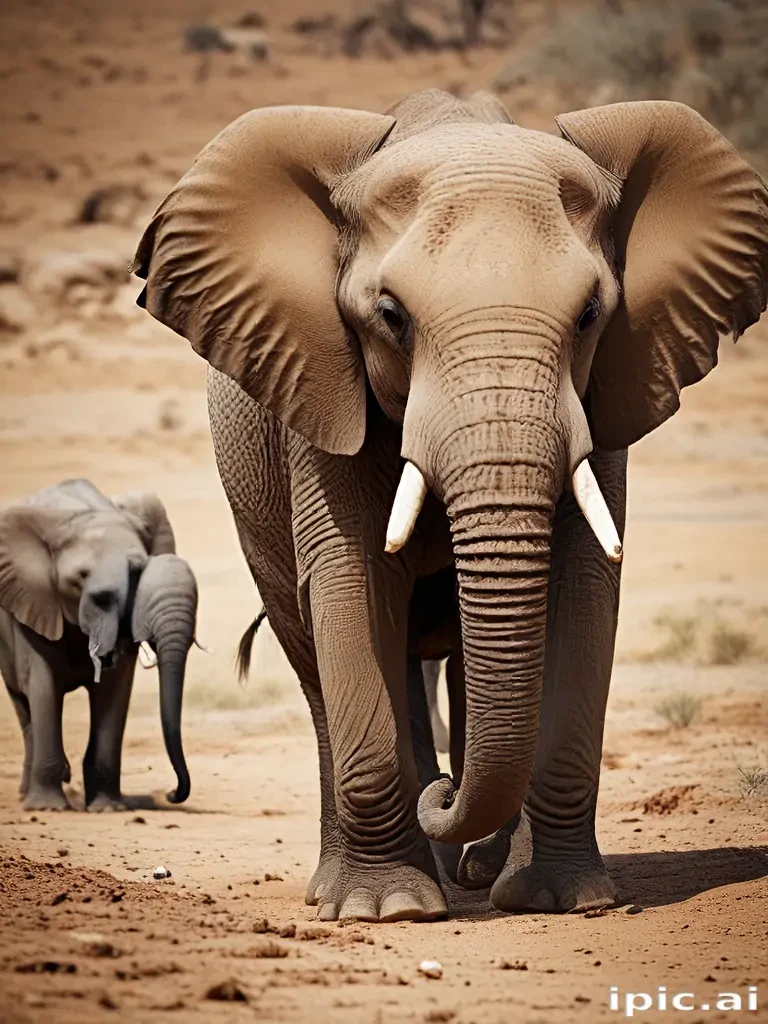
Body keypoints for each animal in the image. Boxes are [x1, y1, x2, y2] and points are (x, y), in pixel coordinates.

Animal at [0, 478, 196, 811]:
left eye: (136, 573)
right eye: (79, 580)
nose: (172, 793)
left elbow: (114, 687)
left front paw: (108, 808)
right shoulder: (32, 600)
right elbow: (41, 681)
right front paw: (47, 808)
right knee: (23, 705)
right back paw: (29, 797)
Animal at [131, 88, 768, 920]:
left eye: (591, 315)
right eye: (391, 315)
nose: (441, 794)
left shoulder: (607, 399)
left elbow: (582, 587)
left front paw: (560, 900)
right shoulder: (321, 389)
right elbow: (352, 583)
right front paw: (389, 909)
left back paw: (471, 865)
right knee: (318, 661)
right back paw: (357, 883)